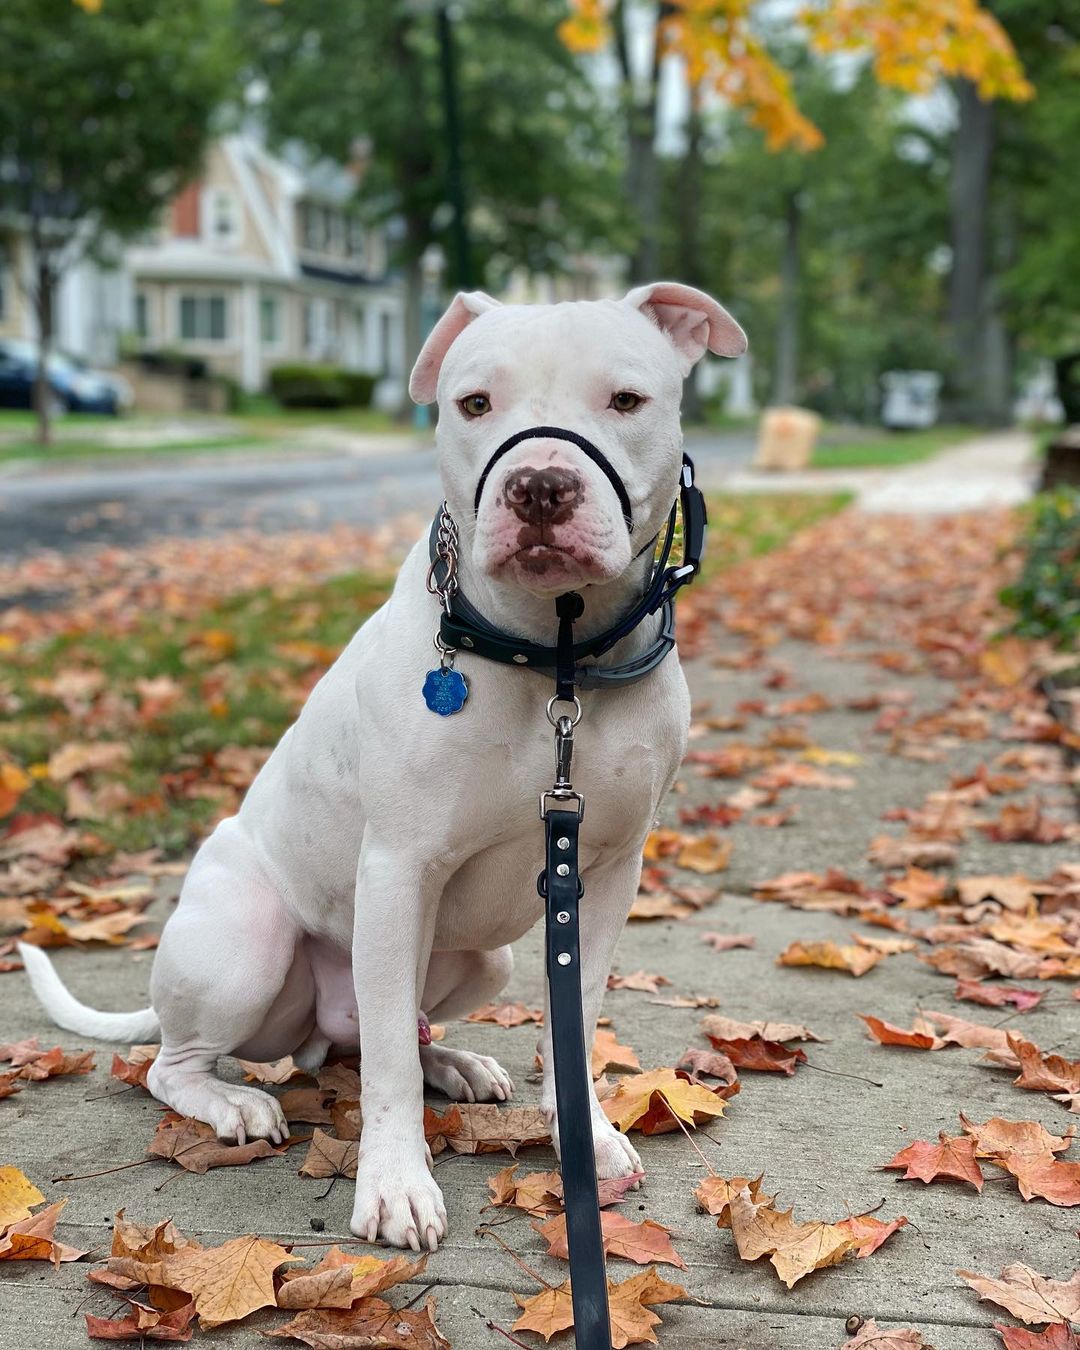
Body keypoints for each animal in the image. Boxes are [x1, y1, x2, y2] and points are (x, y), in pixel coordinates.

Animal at [23, 282, 745, 1252]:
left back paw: (456, 1063)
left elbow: (576, 1021)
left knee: (379, 1031)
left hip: (486, 961)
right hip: (247, 946)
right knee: (183, 1063)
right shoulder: (401, 869)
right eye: (473, 403)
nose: (540, 485)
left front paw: (583, 1138)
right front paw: (397, 1186)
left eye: (626, 400)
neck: (554, 658)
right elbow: (391, 1073)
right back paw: (231, 1102)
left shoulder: (606, 873)